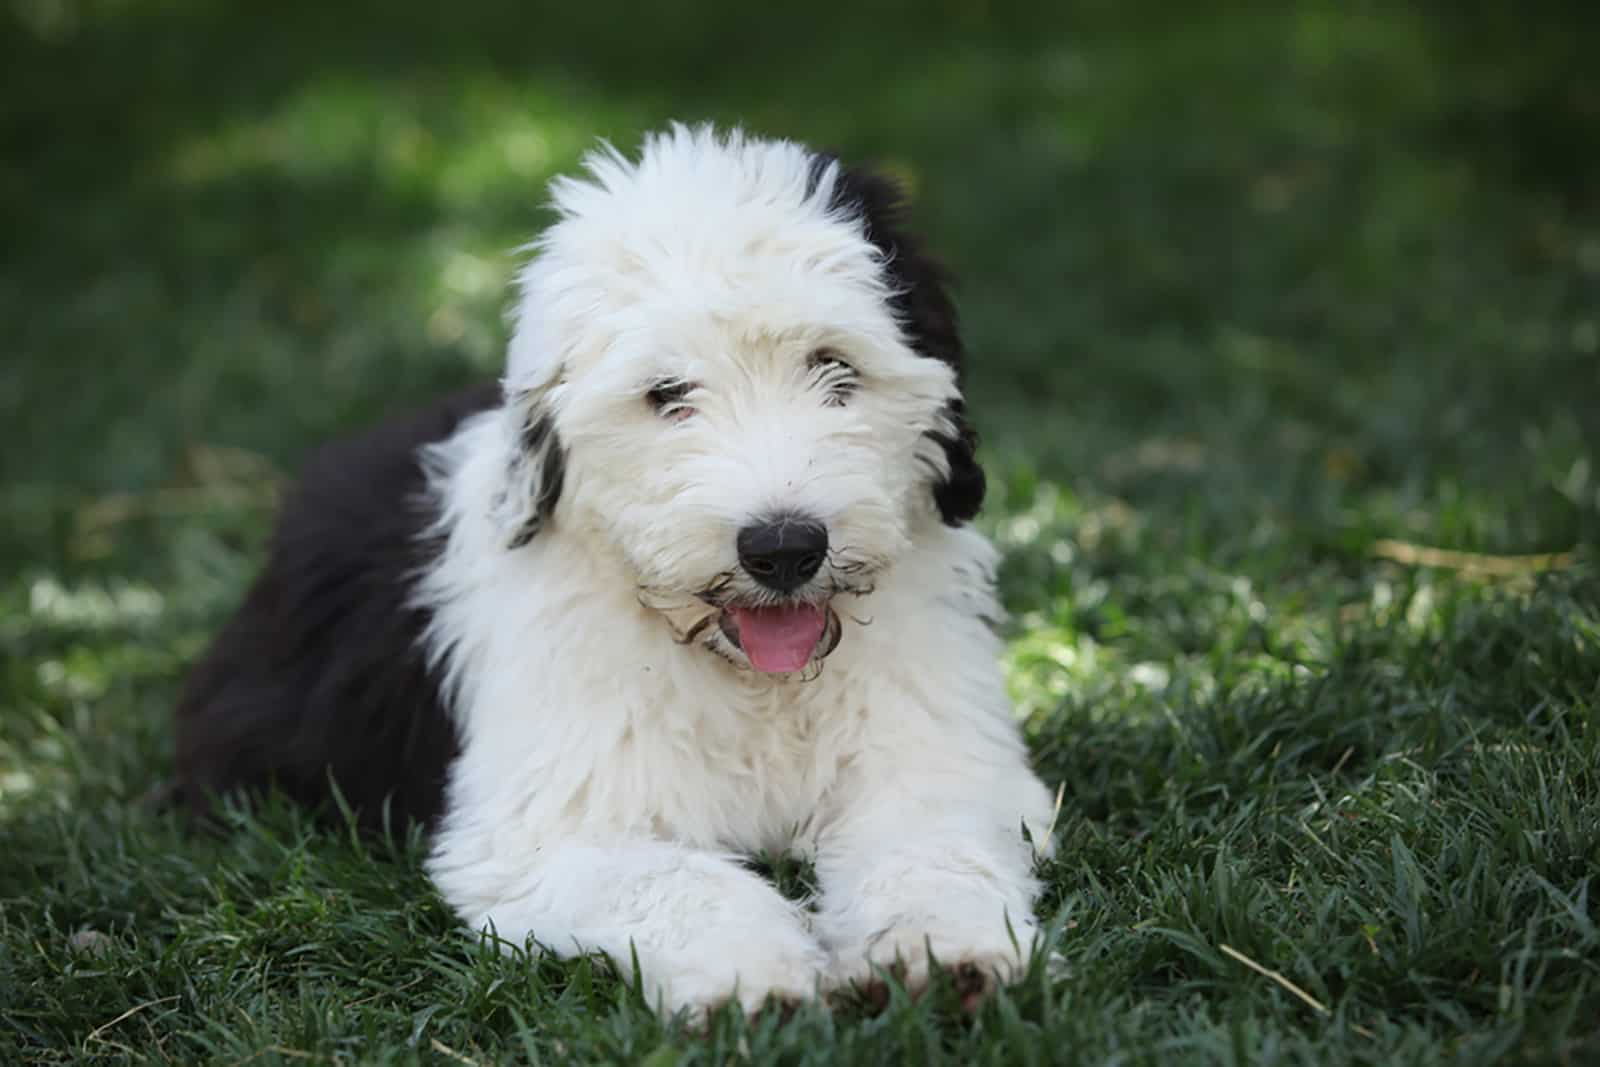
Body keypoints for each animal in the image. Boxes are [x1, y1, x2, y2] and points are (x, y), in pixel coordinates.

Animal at [175, 125, 1056, 1017]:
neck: (751, 681)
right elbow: (677, 880)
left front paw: (942, 949)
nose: (783, 548)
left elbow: (931, 847)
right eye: (667, 392)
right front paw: (755, 977)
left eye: (834, 365)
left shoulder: (936, 761)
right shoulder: (551, 827)